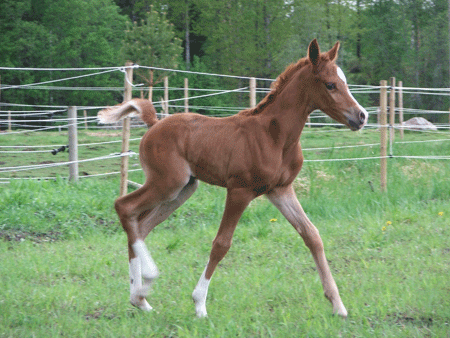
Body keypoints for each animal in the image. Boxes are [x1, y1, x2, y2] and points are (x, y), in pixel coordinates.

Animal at [97, 39, 366, 316]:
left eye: (344, 81)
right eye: (330, 84)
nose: (361, 116)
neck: (275, 137)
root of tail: (154, 124)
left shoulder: (281, 190)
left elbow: (312, 235)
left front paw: (338, 305)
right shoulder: (239, 191)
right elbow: (221, 244)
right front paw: (199, 304)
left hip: (182, 190)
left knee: (141, 225)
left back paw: (140, 297)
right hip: (166, 183)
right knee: (125, 207)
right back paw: (147, 281)